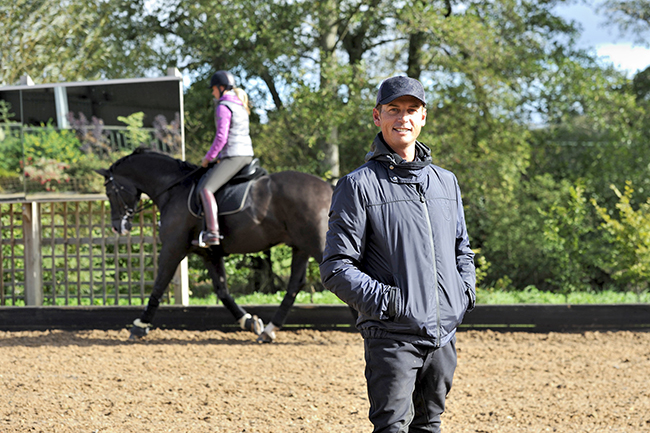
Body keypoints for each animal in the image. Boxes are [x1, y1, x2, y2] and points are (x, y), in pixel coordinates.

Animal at [96, 148, 332, 340]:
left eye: (110, 192)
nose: (118, 226)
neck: (174, 189)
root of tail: (329, 189)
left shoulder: (173, 248)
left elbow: (159, 284)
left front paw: (140, 325)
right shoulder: (209, 254)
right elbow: (222, 291)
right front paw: (248, 321)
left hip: (317, 245)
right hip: (301, 247)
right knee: (295, 285)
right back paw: (268, 331)